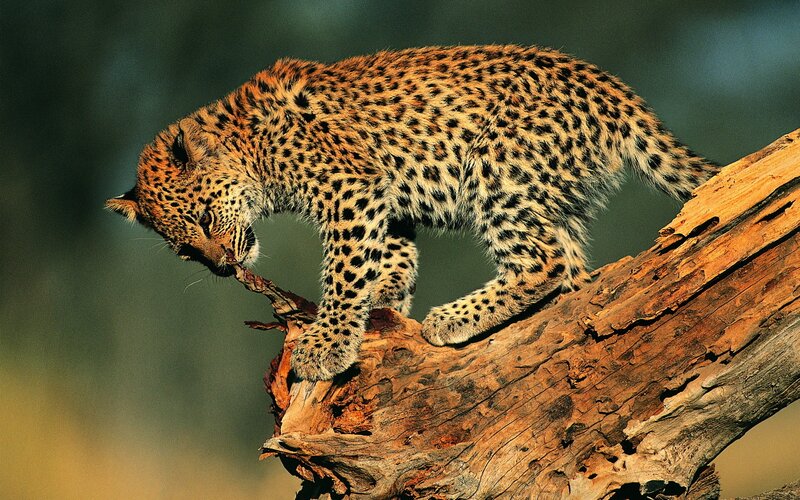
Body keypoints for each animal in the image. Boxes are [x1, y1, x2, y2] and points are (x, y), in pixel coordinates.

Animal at [107, 45, 719, 381]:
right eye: (185, 251)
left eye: (207, 221)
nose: (223, 268)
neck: (249, 147)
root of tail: (616, 91)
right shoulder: (384, 200)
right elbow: (389, 255)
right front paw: (385, 299)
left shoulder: (348, 188)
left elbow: (344, 270)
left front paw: (327, 343)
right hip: (552, 193)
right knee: (569, 271)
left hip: (497, 165)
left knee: (541, 261)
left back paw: (453, 318)